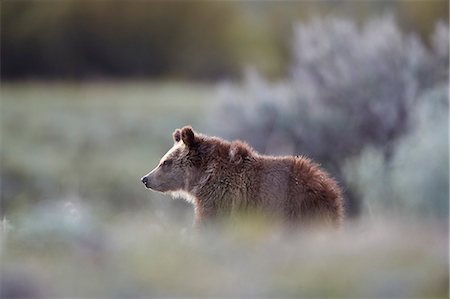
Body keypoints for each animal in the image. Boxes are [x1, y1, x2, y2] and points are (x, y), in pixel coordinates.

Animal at [141, 126, 344, 227]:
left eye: (165, 162)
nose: (145, 179)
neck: (204, 176)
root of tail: (328, 187)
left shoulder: (221, 197)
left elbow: (210, 221)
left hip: (295, 207)